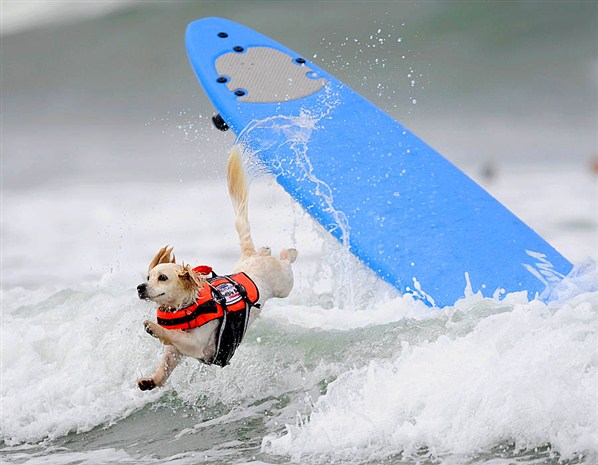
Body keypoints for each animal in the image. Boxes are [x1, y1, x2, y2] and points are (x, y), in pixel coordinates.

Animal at [135, 147, 296, 390]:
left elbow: (175, 336)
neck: (187, 305)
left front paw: (154, 327)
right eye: (148, 276)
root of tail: (250, 255)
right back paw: (267, 249)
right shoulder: (175, 353)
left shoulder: (198, 345)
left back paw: (287, 252)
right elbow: (166, 364)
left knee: (286, 263)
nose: (140, 287)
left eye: (162, 277)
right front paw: (150, 380)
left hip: (284, 283)